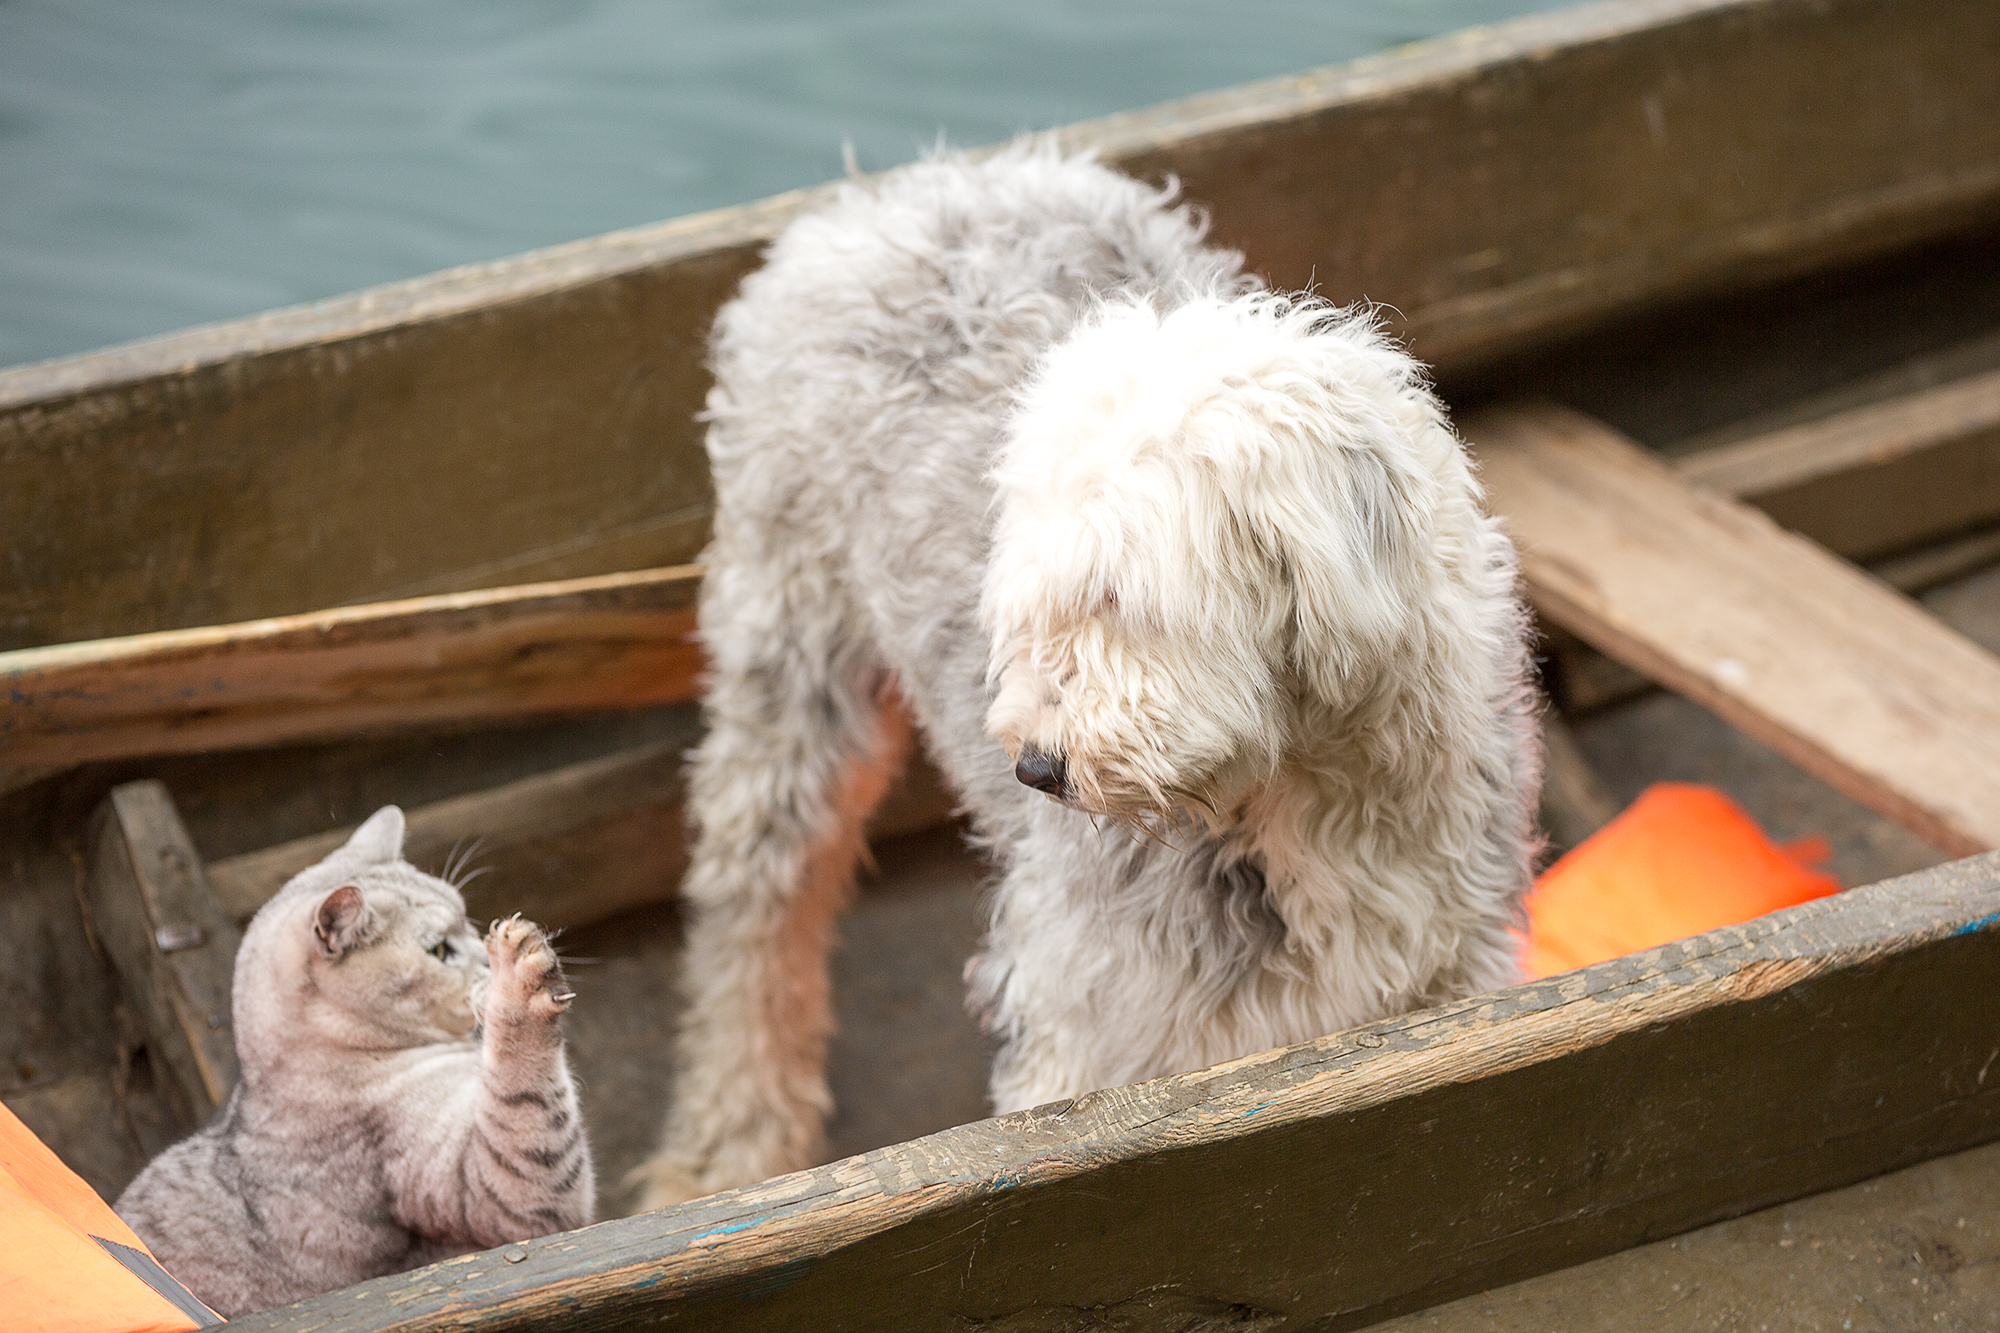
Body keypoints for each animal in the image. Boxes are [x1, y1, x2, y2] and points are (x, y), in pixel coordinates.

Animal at [114, 804, 592, 1312]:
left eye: (467, 922)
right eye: (439, 950)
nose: (485, 960)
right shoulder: (500, 1194)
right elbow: (530, 1105)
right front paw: (516, 984)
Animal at [632, 143, 1536, 1200]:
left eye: (1123, 596)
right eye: (1036, 598)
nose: (1036, 767)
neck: (1303, 803)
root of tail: (892, 189)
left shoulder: (1447, 974)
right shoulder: (1093, 1015)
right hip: (792, 648)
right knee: (755, 908)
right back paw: (727, 1148)